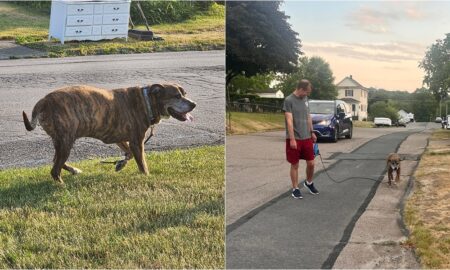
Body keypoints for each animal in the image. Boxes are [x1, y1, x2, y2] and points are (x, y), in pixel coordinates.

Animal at [22, 83, 195, 184]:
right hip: (66, 140)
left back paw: (73, 170)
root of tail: (44, 101)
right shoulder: (137, 142)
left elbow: (128, 153)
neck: (147, 100)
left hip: (60, 141)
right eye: (177, 96)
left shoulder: (120, 138)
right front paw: (146, 176)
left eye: (185, 93)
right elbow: (142, 163)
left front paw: (120, 163)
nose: (193, 104)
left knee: (55, 161)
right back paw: (61, 184)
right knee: (55, 169)